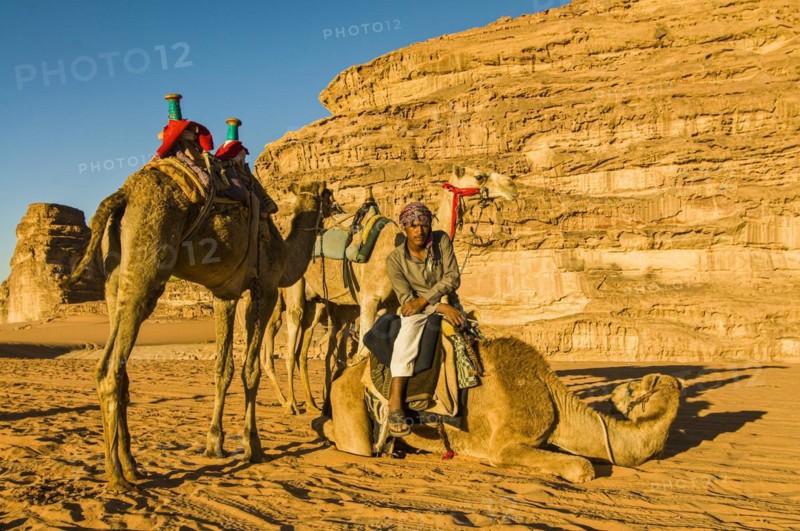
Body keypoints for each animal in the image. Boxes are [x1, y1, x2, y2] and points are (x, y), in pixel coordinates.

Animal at [68, 130, 336, 491]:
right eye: (329, 194)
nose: (338, 206)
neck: (283, 253)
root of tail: (122, 196)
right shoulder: (264, 288)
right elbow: (250, 369)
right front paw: (253, 446)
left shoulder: (225, 295)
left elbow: (223, 368)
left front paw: (214, 443)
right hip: (148, 265)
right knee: (110, 369)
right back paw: (117, 475)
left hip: (115, 279)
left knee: (117, 368)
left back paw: (133, 466)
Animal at [263, 166, 519, 415]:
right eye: (479, 176)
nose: (512, 186)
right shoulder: (369, 299)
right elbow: (363, 353)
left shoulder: (394, 304)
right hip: (296, 288)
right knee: (291, 340)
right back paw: (291, 404)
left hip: (317, 302)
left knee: (305, 348)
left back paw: (312, 403)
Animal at [316, 336, 684, 483]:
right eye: (636, 386)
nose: (618, 392)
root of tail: (343, 374)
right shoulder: (504, 446)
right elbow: (583, 467)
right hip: (350, 403)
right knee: (351, 440)